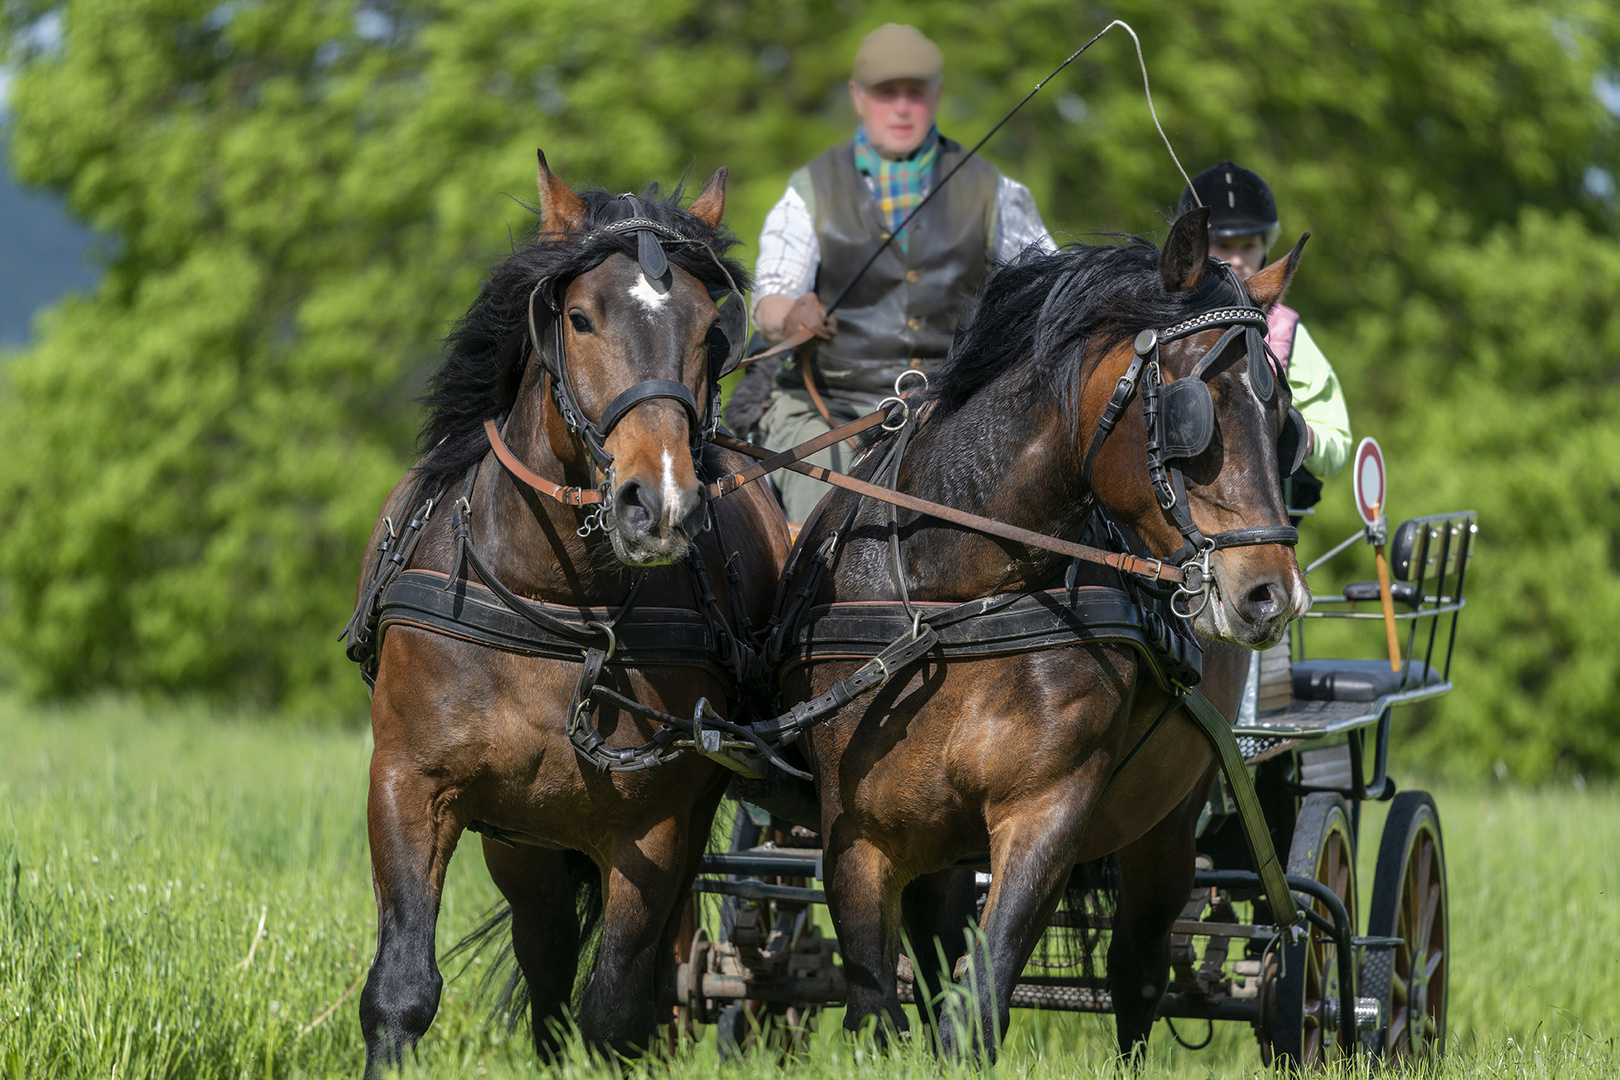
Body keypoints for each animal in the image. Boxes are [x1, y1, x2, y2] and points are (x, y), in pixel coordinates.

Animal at [348, 156, 790, 1075]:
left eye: (709, 331)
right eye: (580, 318)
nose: (658, 504)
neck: (557, 605)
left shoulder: (655, 822)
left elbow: (618, 1008)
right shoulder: (410, 781)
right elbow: (401, 988)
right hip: (525, 838)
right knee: (546, 951)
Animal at [784, 207, 1315, 1062]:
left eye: (1286, 422)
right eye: (1193, 413)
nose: (1271, 595)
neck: (956, 603)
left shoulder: (1046, 811)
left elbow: (979, 1004)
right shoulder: (859, 833)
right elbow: (879, 1011)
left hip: (1171, 819)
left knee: (1139, 968)